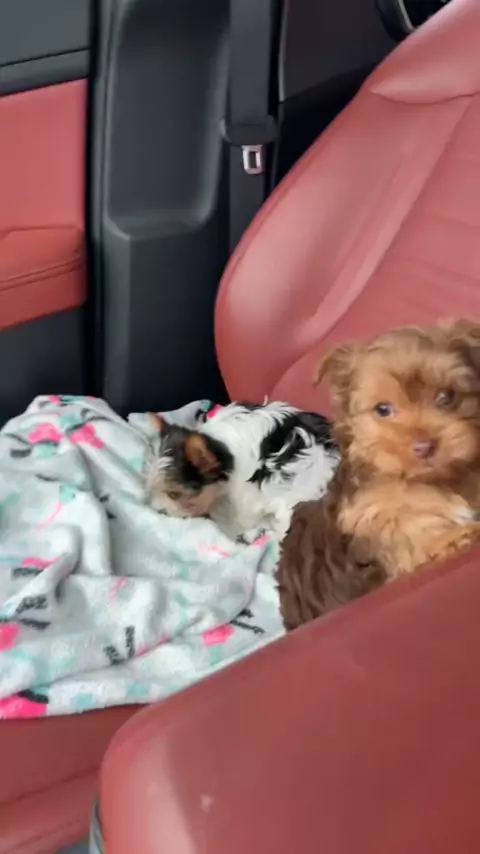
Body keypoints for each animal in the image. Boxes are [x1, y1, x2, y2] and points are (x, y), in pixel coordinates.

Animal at [277, 319, 480, 629]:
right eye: (383, 410)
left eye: (447, 397)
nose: (424, 446)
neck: (433, 481)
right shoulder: (384, 521)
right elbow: (420, 538)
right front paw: (457, 536)